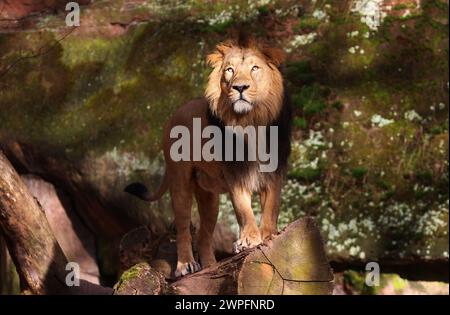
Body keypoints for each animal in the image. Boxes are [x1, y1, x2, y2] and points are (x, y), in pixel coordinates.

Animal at [125, 37, 292, 278]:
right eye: (230, 70)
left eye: (255, 68)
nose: (240, 87)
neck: (250, 122)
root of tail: (175, 114)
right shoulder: (235, 176)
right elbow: (244, 211)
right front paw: (248, 240)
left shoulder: (274, 174)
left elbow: (271, 209)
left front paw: (270, 235)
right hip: (180, 183)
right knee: (183, 228)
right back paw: (185, 265)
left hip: (209, 197)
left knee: (204, 236)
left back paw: (211, 267)